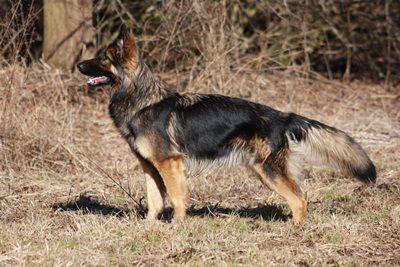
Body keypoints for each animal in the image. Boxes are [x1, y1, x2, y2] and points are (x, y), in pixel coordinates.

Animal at [76, 28, 376, 224]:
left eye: (103, 58)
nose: (77, 64)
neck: (140, 100)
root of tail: (283, 116)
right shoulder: (150, 166)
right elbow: (155, 199)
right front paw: (150, 225)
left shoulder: (170, 164)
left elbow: (177, 197)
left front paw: (177, 226)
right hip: (262, 170)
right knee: (299, 196)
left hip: (268, 171)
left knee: (299, 198)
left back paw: (296, 229)